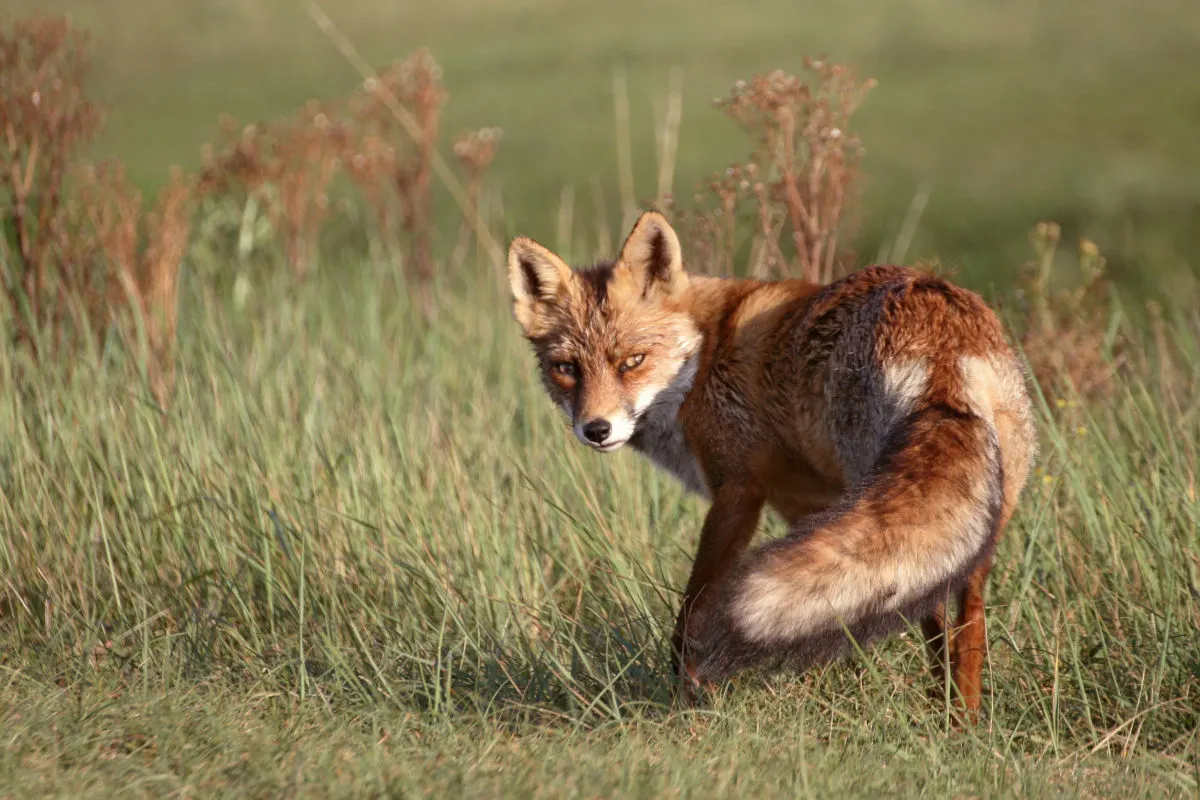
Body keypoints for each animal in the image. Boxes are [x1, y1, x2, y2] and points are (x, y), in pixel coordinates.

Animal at [505, 210, 1037, 716]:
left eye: (633, 361)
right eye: (566, 369)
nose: (596, 429)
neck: (704, 353)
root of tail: (941, 331)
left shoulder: (738, 488)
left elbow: (694, 608)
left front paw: (688, 695)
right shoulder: (807, 508)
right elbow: (830, 603)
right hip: (971, 515)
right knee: (961, 615)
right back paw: (960, 720)